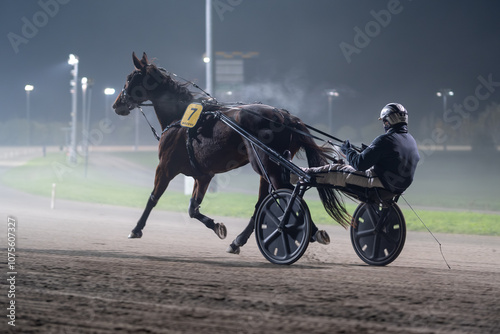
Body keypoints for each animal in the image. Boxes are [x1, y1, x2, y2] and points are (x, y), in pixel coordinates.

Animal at [113, 52, 350, 253]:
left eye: (130, 78)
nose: (117, 105)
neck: (179, 119)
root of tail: (285, 116)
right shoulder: (203, 175)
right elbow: (193, 209)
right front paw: (217, 226)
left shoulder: (165, 167)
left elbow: (153, 198)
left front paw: (136, 229)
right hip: (268, 166)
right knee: (264, 202)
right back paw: (239, 241)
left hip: (265, 163)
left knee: (285, 193)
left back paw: (304, 230)